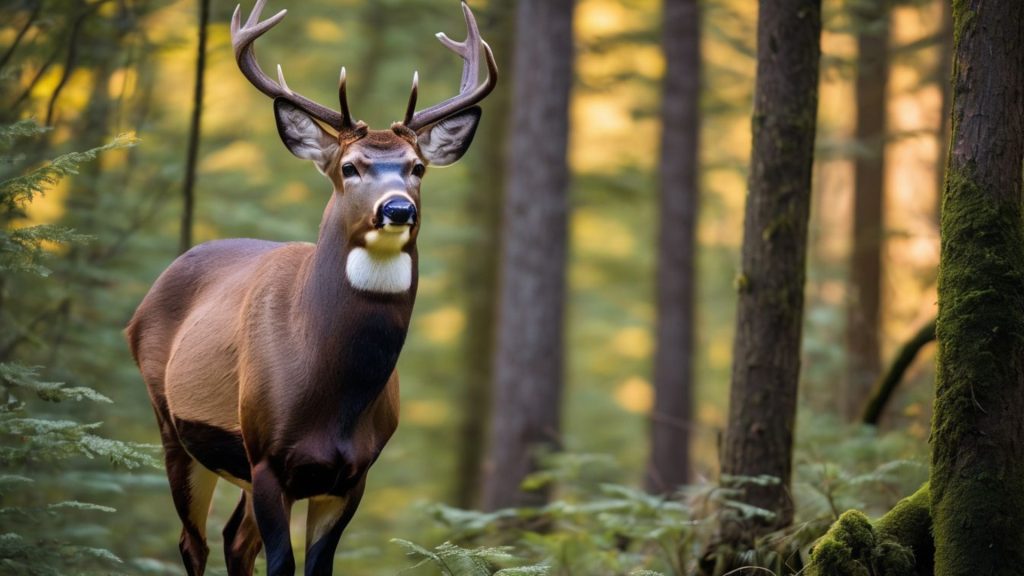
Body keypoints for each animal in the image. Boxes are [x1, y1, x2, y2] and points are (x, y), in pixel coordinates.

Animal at [128, 2, 495, 569]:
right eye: (349, 166)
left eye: (417, 167)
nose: (398, 208)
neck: (332, 394)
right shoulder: (267, 458)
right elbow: (282, 563)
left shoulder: (352, 476)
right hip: (174, 426)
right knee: (195, 541)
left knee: (235, 539)